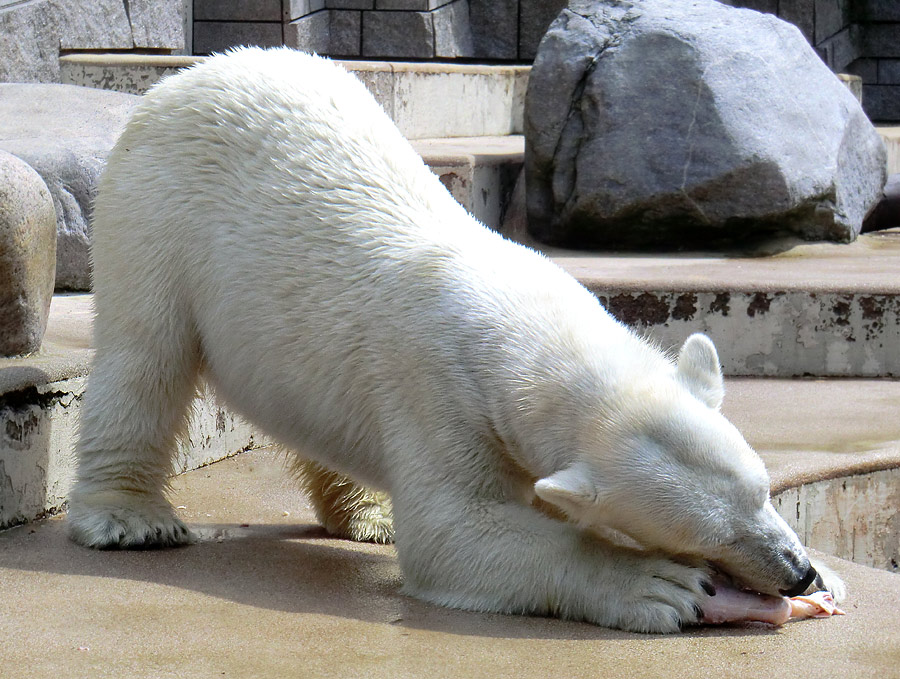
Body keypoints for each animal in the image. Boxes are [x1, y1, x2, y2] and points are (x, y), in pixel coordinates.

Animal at [70, 49, 844, 636]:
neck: (524, 321)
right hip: (159, 212)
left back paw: (368, 515)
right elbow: (453, 530)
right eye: (702, 537)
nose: (797, 571)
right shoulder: (437, 384)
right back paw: (130, 517)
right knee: (145, 357)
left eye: (763, 491)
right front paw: (658, 587)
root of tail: (190, 75)